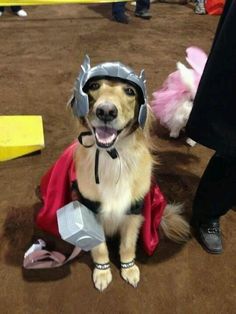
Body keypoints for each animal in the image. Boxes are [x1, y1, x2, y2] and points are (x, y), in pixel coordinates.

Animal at [71, 57, 190, 290]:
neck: (112, 158)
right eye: (94, 86)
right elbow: (99, 246)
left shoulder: (133, 211)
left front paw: (129, 269)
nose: (106, 111)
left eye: (129, 91)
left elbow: (127, 246)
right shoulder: (91, 209)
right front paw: (102, 272)